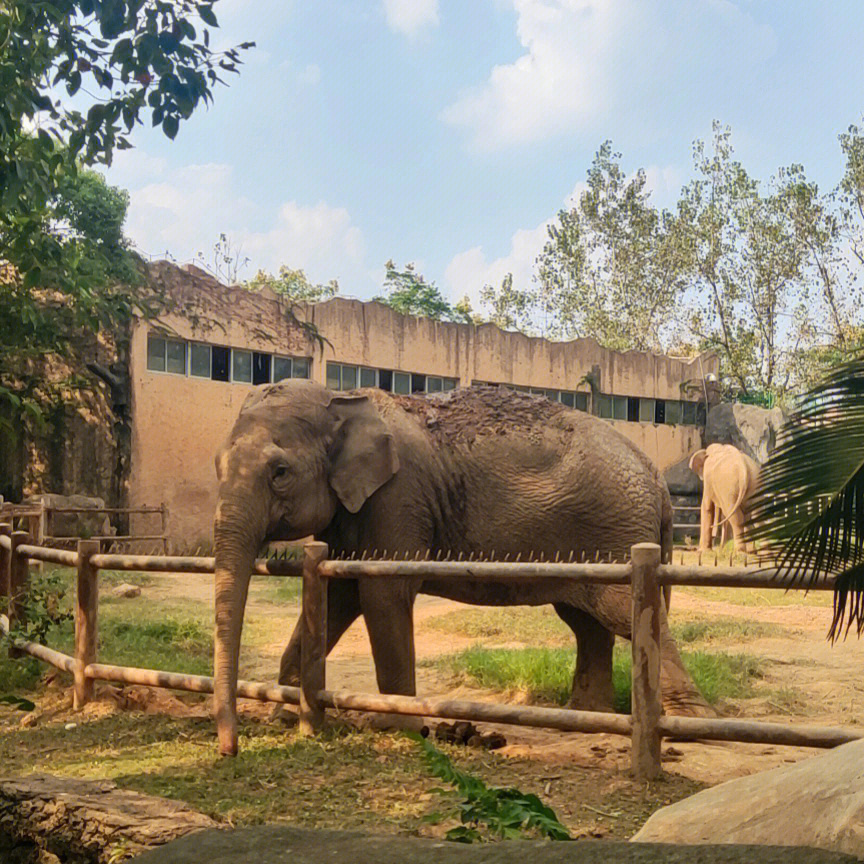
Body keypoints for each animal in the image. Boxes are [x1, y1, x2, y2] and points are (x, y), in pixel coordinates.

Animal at [213, 384, 712, 756]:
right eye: (217, 465)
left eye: (280, 472)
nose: (229, 751)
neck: (342, 399)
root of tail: (655, 476)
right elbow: (341, 597)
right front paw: (284, 713)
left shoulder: (398, 496)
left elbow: (382, 592)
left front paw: (394, 728)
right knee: (586, 623)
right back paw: (584, 721)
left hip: (615, 531)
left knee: (620, 613)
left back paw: (687, 724)